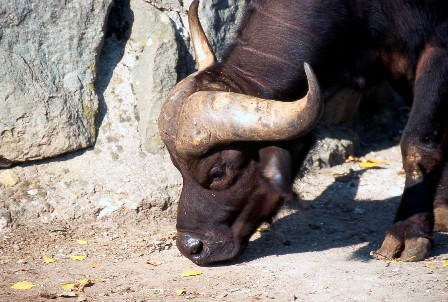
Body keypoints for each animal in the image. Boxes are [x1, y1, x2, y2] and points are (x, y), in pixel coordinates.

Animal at [158, 0, 448, 264]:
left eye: (218, 172)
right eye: (178, 169)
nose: (191, 247)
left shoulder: (437, 48)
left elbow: (417, 143)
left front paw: (408, 232)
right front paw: (440, 208)